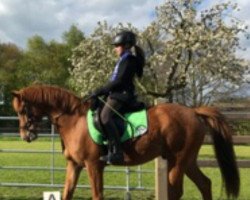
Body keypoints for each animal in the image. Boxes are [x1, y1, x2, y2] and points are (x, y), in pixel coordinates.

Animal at [12, 85, 240, 200]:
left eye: (23, 110)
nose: (25, 136)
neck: (74, 120)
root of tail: (193, 112)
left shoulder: (93, 165)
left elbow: (97, 195)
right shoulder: (74, 165)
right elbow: (68, 192)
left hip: (178, 161)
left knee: (177, 191)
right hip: (187, 161)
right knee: (205, 184)